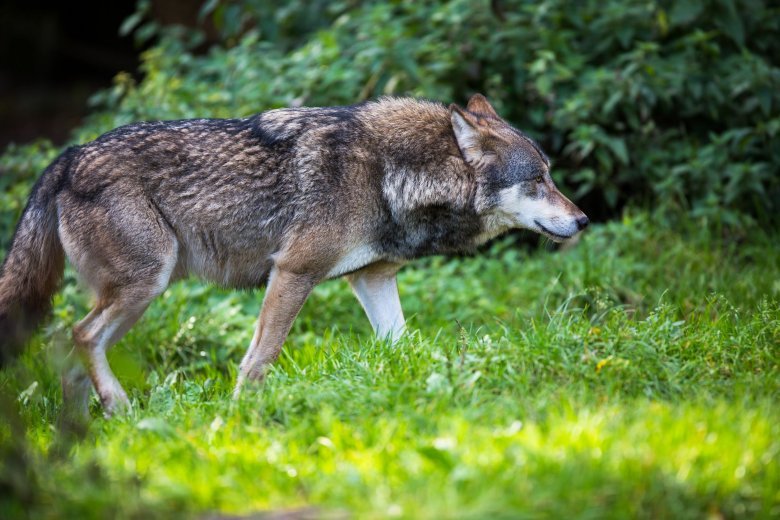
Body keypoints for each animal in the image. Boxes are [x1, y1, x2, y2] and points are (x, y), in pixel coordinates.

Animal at [0, 95, 584, 416]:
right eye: (538, 181)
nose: (582, 221)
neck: (390, 172)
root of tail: (68, 156)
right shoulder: (293, 272)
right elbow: (259, 358)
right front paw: (240, 419)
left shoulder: (371, 279)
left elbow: (403, 344)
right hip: (145, 286)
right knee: (78, 336)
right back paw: (116, 411)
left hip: (138, 295)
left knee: (68, 344)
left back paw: (88, 430)